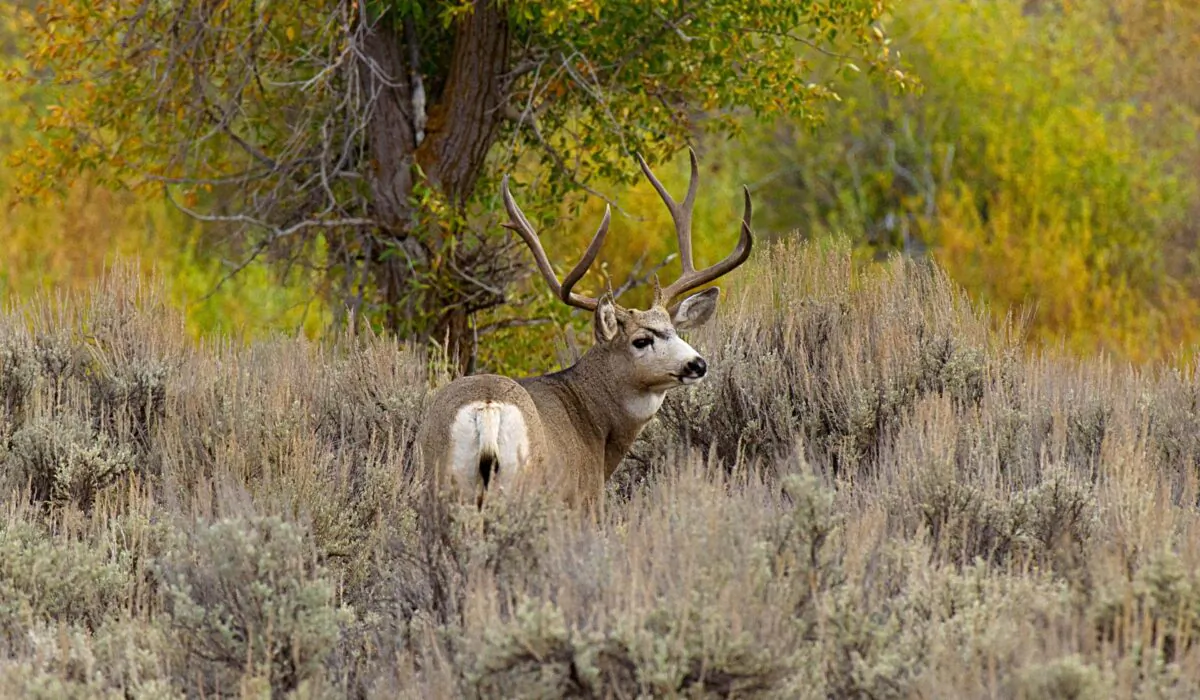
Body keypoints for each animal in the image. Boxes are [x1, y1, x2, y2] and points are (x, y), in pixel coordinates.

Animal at [416, 149, 753, 511]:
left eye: (675, 331)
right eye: (641, 340)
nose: (697, 364)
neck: (595, 428)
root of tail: (488, 407)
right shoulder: (584, 498)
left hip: (442, 484)